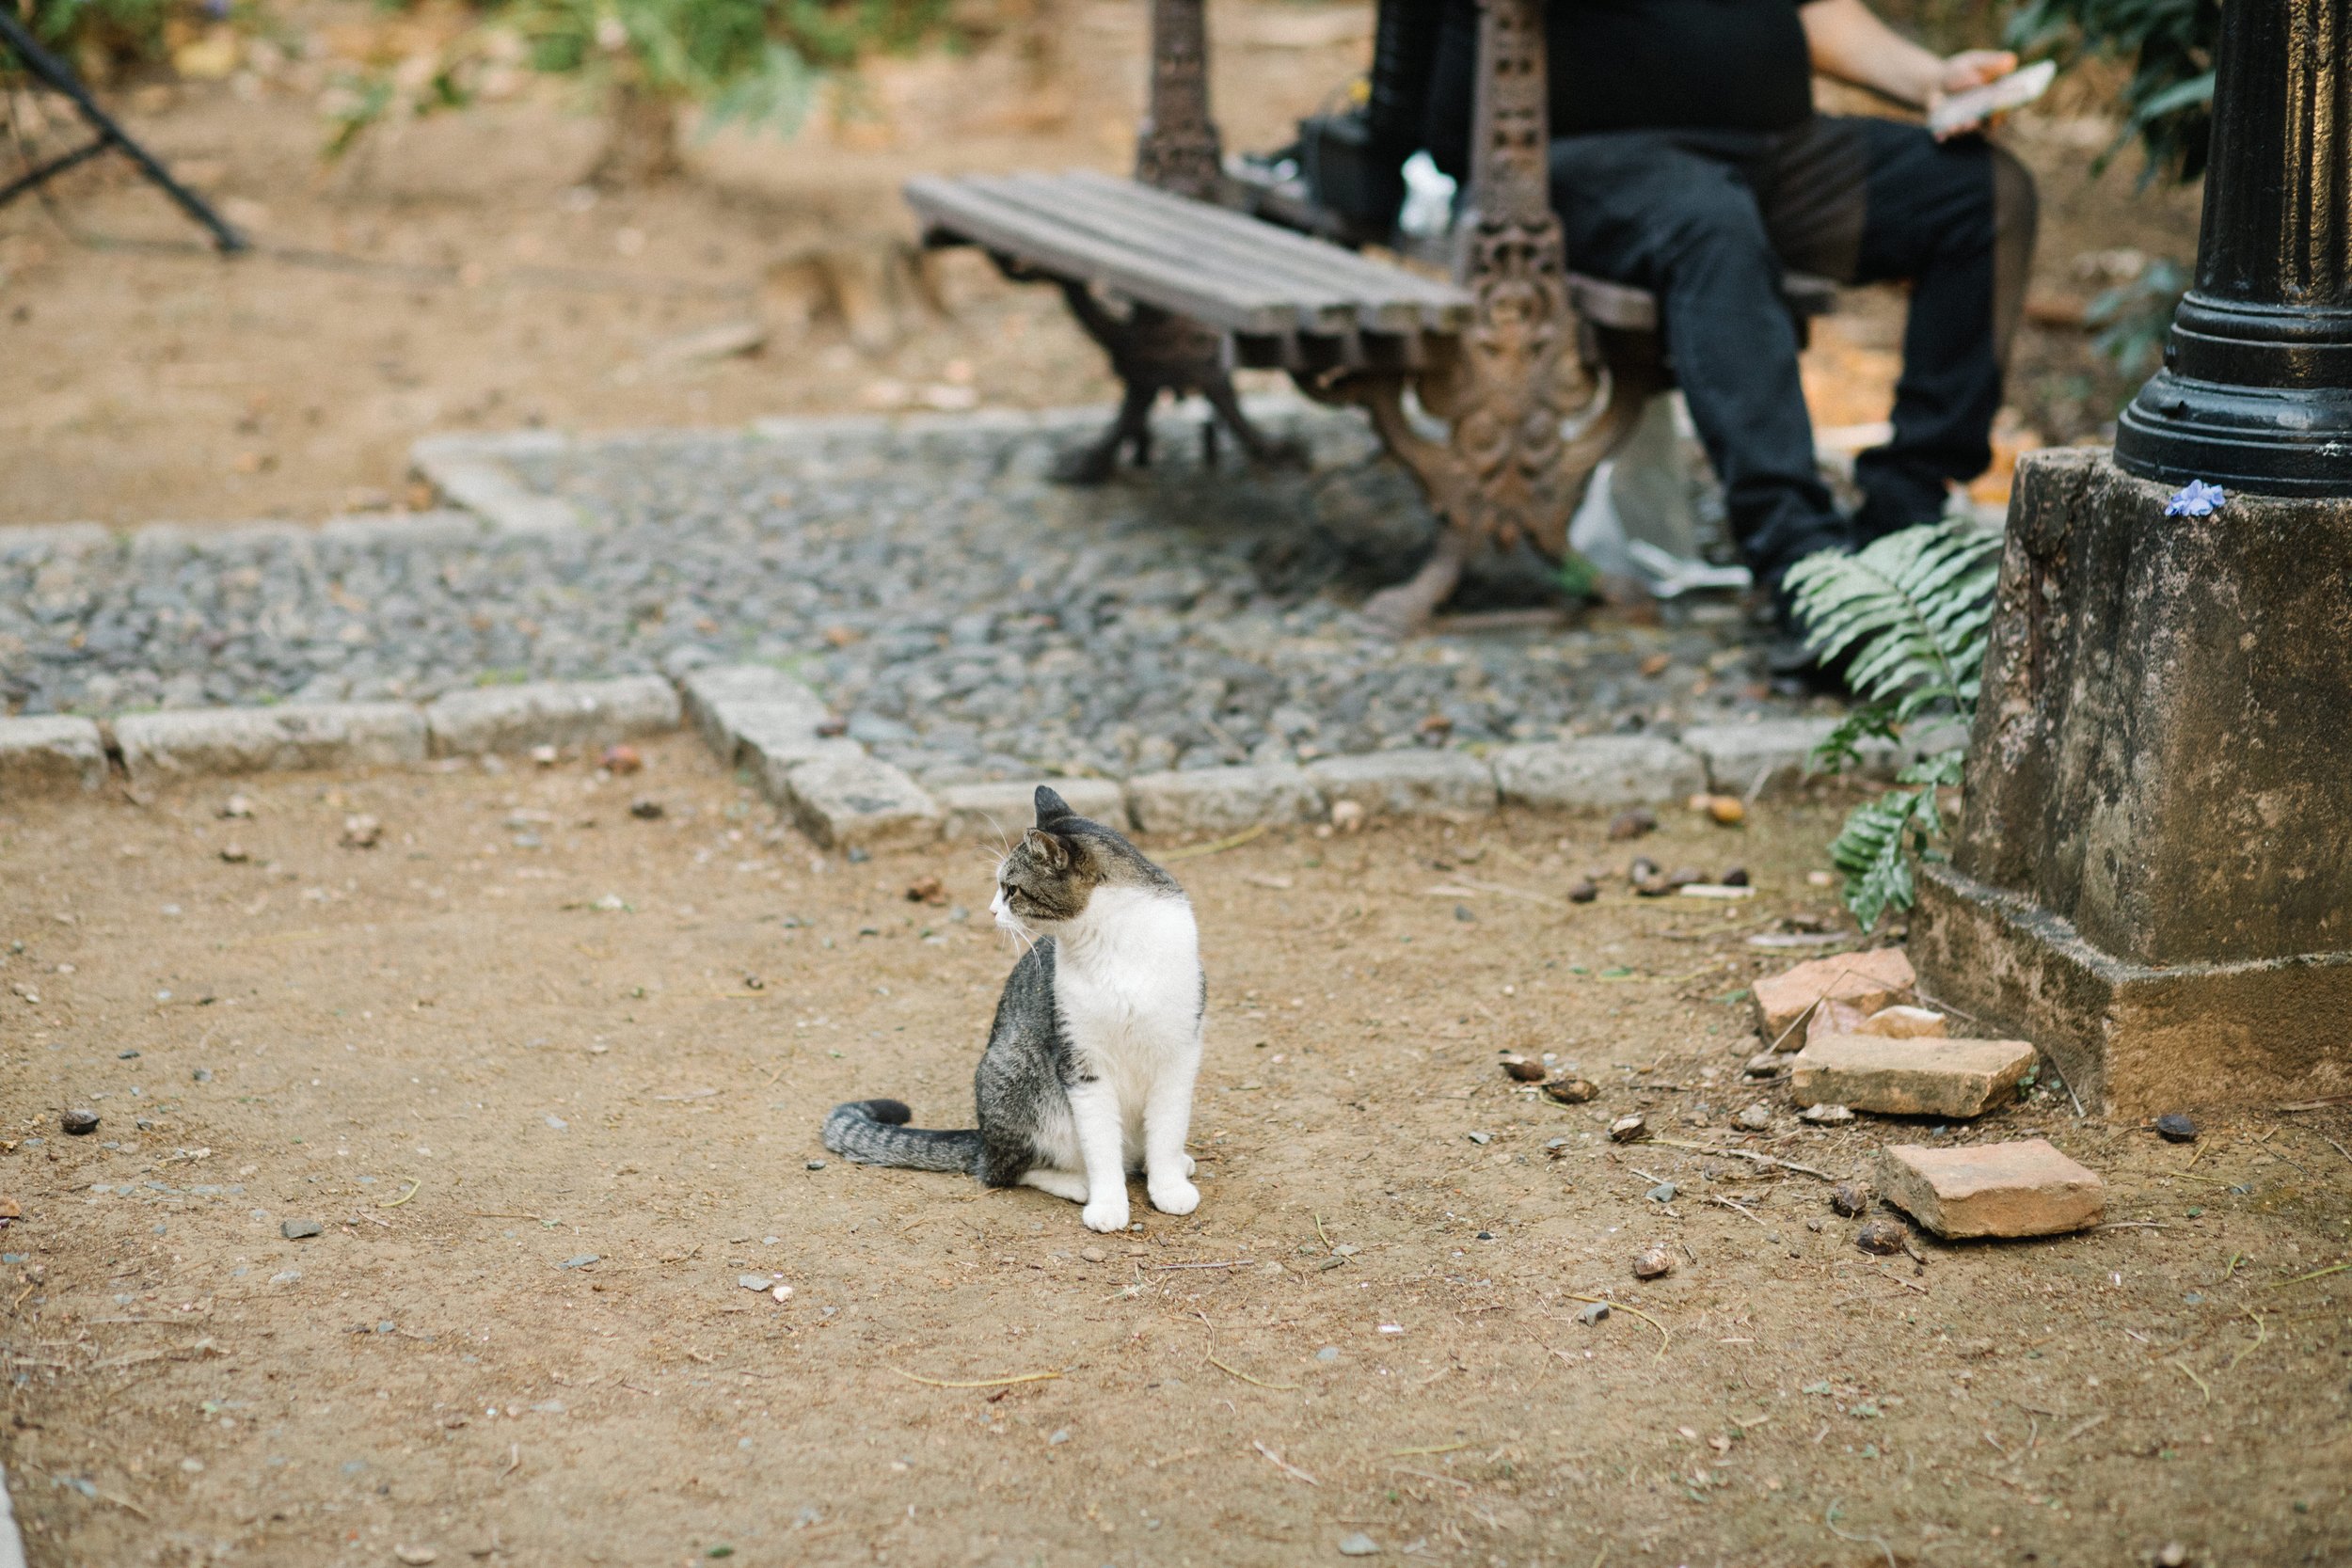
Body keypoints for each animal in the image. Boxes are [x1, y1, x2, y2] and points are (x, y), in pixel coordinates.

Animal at [823, 789, 1204, 1231]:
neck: (1113, 944)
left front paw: (1169, 1187)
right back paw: (1076, 1183)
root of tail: (983, 1139)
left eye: (1011, 889)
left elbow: (1167, 1132)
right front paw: (1108, 1204)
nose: (991, 910)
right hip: (1014, 1075)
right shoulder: (1081, 1062)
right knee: (1005, 1171)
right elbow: (1101, 1146)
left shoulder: (1179, 1051)